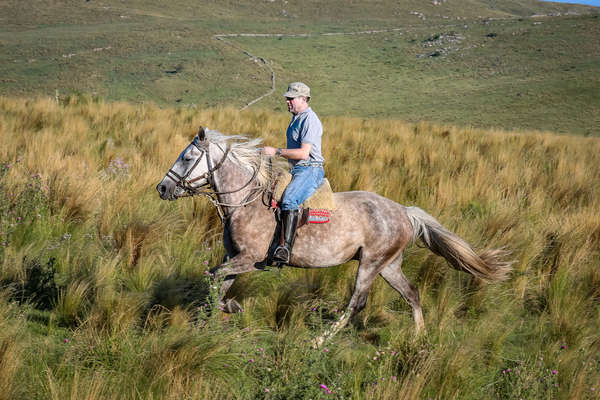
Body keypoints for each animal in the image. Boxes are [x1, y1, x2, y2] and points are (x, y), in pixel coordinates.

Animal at [156, 127, 510, 344]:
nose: (162, 188)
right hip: (389, 265)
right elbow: (217, 282)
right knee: (412, 294)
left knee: (357, 303)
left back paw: (319, 341)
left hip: (370, 264)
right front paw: (213, 318)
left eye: (187, 157)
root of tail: (403, 210)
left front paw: (230, 309)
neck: (245, 201)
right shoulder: (235, 258)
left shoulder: (249, 259)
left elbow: (215, 278)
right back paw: (418, 337)